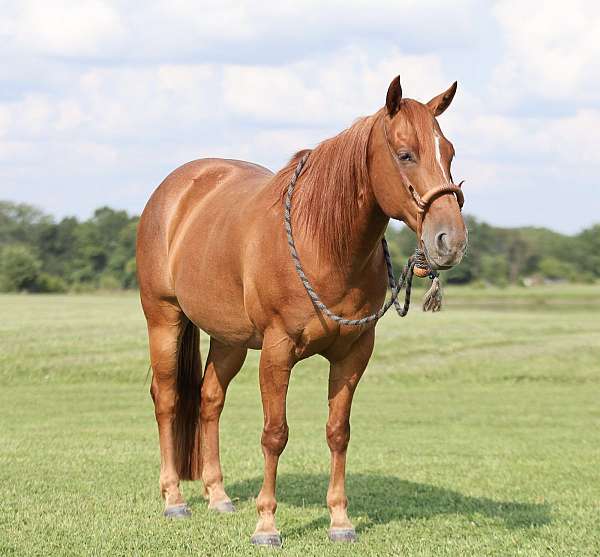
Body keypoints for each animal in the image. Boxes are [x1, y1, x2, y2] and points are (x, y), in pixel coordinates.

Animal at [137, 76, 468, 544]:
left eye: (450, 152)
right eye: (406, 154)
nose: (449, 241)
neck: (324, 244)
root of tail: (174, 190)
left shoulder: (353, 354)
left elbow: (338, 433)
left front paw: (340, 521)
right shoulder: (277, 352)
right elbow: (275, 434)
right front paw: (266, 525)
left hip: (228, 339)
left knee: (209, 400)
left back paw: (218, 496)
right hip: (163, 319)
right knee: (166, 398)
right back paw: (174, 500)